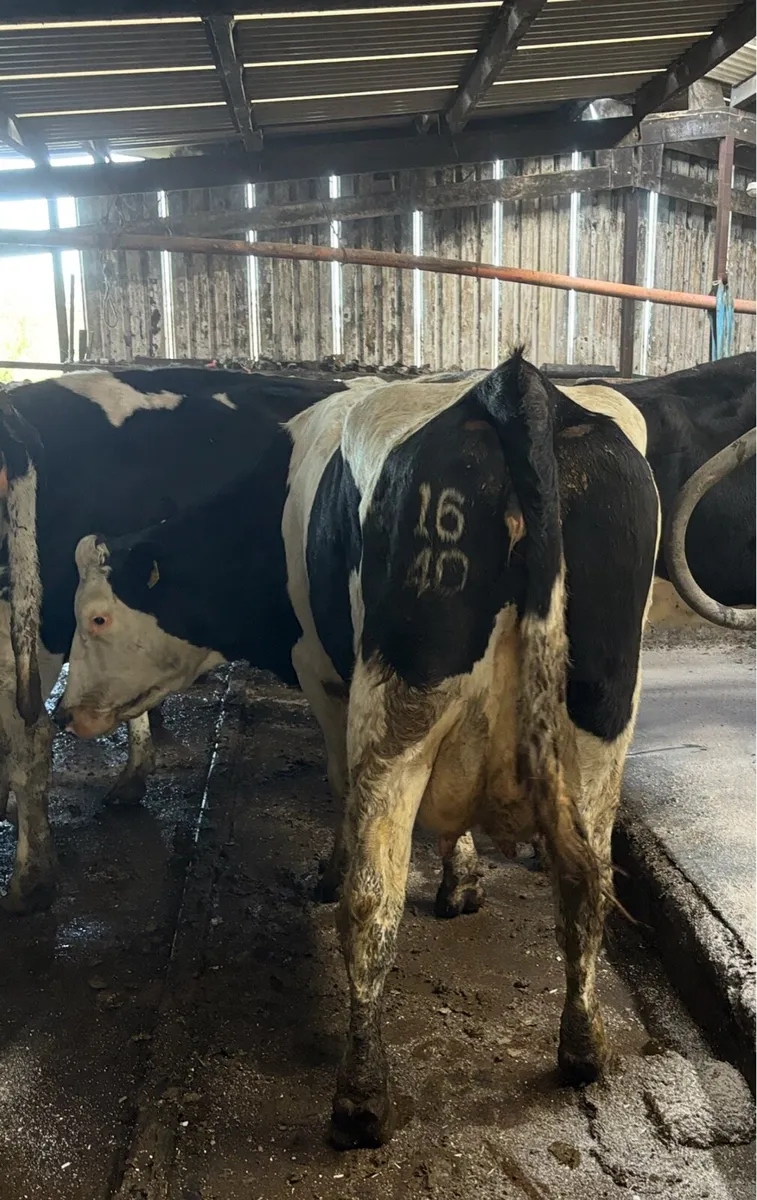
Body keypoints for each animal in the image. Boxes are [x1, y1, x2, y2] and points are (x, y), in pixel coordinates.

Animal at [56, 351, 660, 1148]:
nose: (62, 712)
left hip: (397, 704)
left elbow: (340, 792)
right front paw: (461, 881)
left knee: (373, 902)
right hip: (601, 712)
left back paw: (361, 1096)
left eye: (96, 617)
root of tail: (517, 387)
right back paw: (582, 1048)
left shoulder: (323, 675)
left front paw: (331, 870)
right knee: (587, 884)